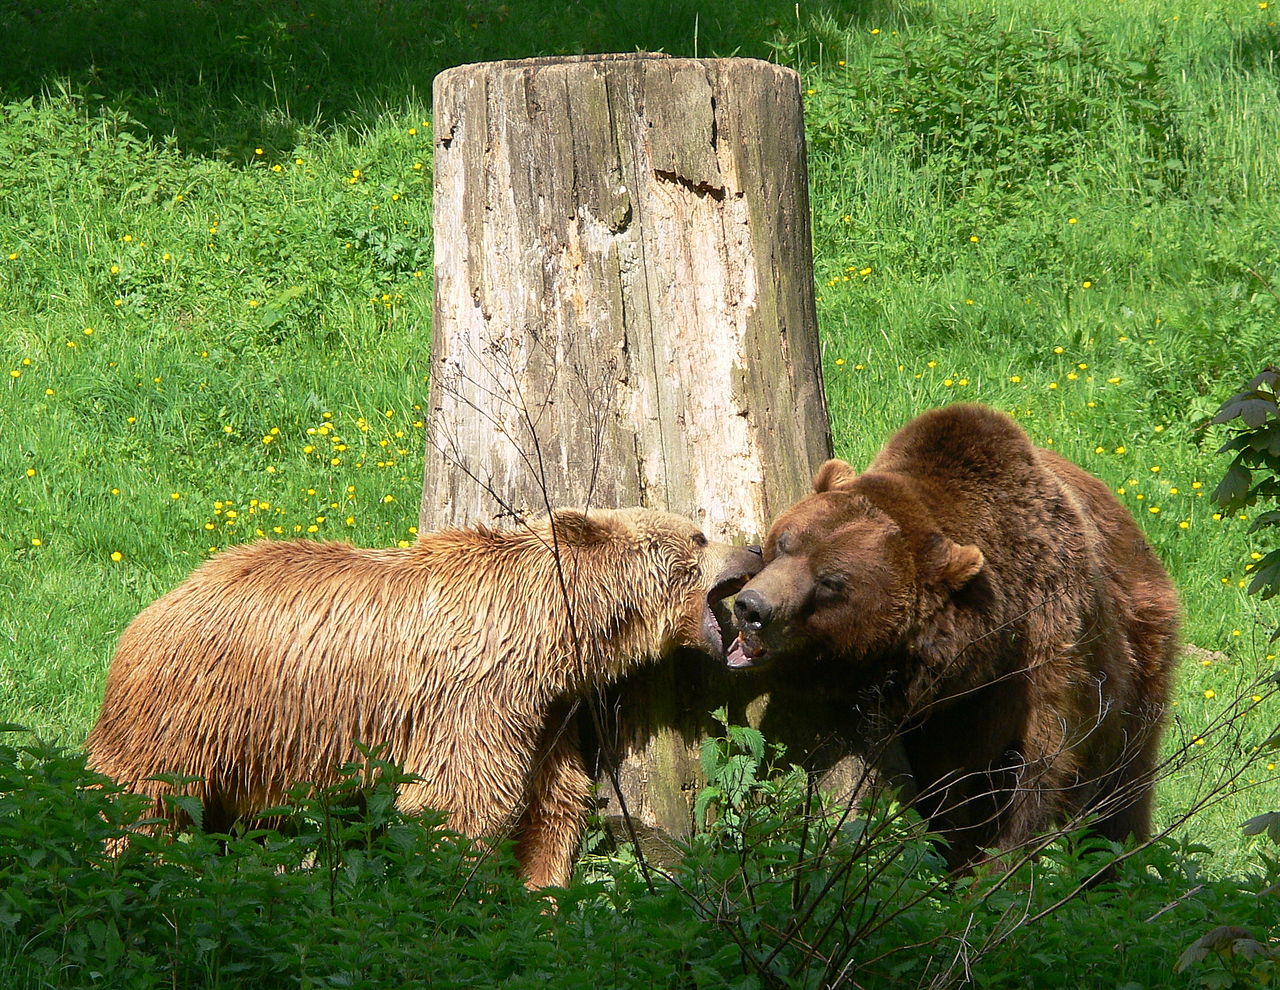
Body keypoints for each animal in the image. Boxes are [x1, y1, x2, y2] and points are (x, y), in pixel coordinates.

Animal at [87, 507, 757, 886]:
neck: (546, 629)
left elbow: (553, 800)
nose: (751, 548)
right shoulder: (476, 696)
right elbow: (460, 800)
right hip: (191, 711)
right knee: (129, 795)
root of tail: (152, 610)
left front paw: (542, 890)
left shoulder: (543, 710)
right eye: (698, 536)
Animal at [732, 402, 1177, 865]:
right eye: (786, 542)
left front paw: (989, 865)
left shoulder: (1043, 659)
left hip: (1139, 660)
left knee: (1121, 790)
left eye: (831, 582)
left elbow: (1029, 777)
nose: (752, 608)